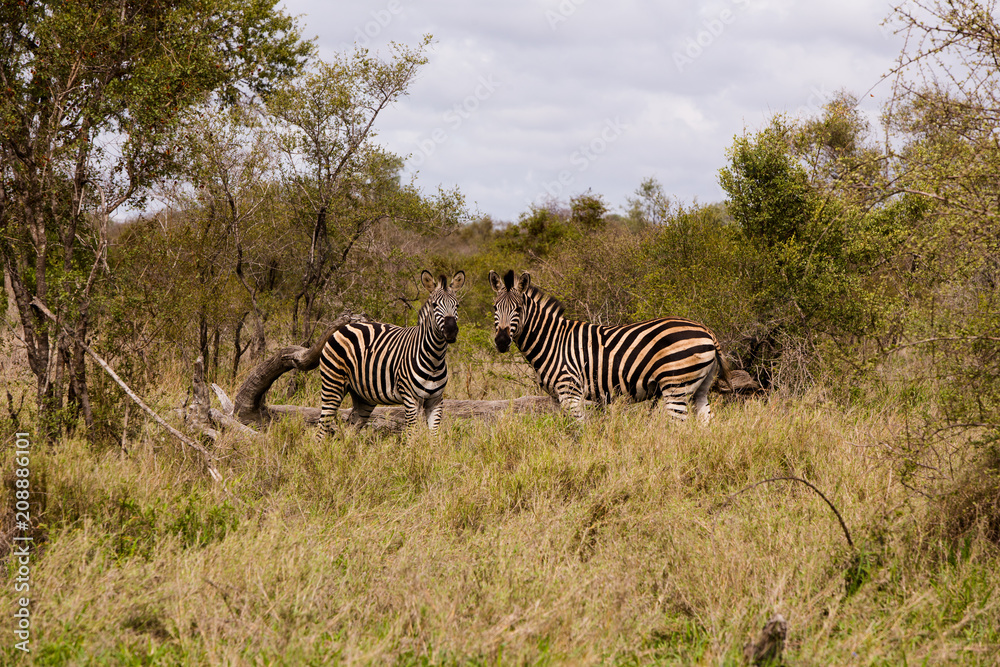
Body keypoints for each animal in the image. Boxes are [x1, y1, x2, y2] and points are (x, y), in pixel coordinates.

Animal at [318, 270, 466, 437]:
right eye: (434, 305)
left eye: (457, 305)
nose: (451, 331)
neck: (435, 358)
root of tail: (346, 326)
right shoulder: (410, 399)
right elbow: (411, 436)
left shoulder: (436, 401)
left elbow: (434, 436)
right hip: (332, 384)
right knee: (322, 427)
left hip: (363, 396)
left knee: (351, 429)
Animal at [489, 269, 730, 422]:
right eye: (494, 307)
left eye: (518, 309)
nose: (501, 342)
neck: (552, 341)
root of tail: (707, 331)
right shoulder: (559, 397)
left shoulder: (571, 391)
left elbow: (579, 431)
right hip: (700, 388)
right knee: (706, 424)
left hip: (676, 386)